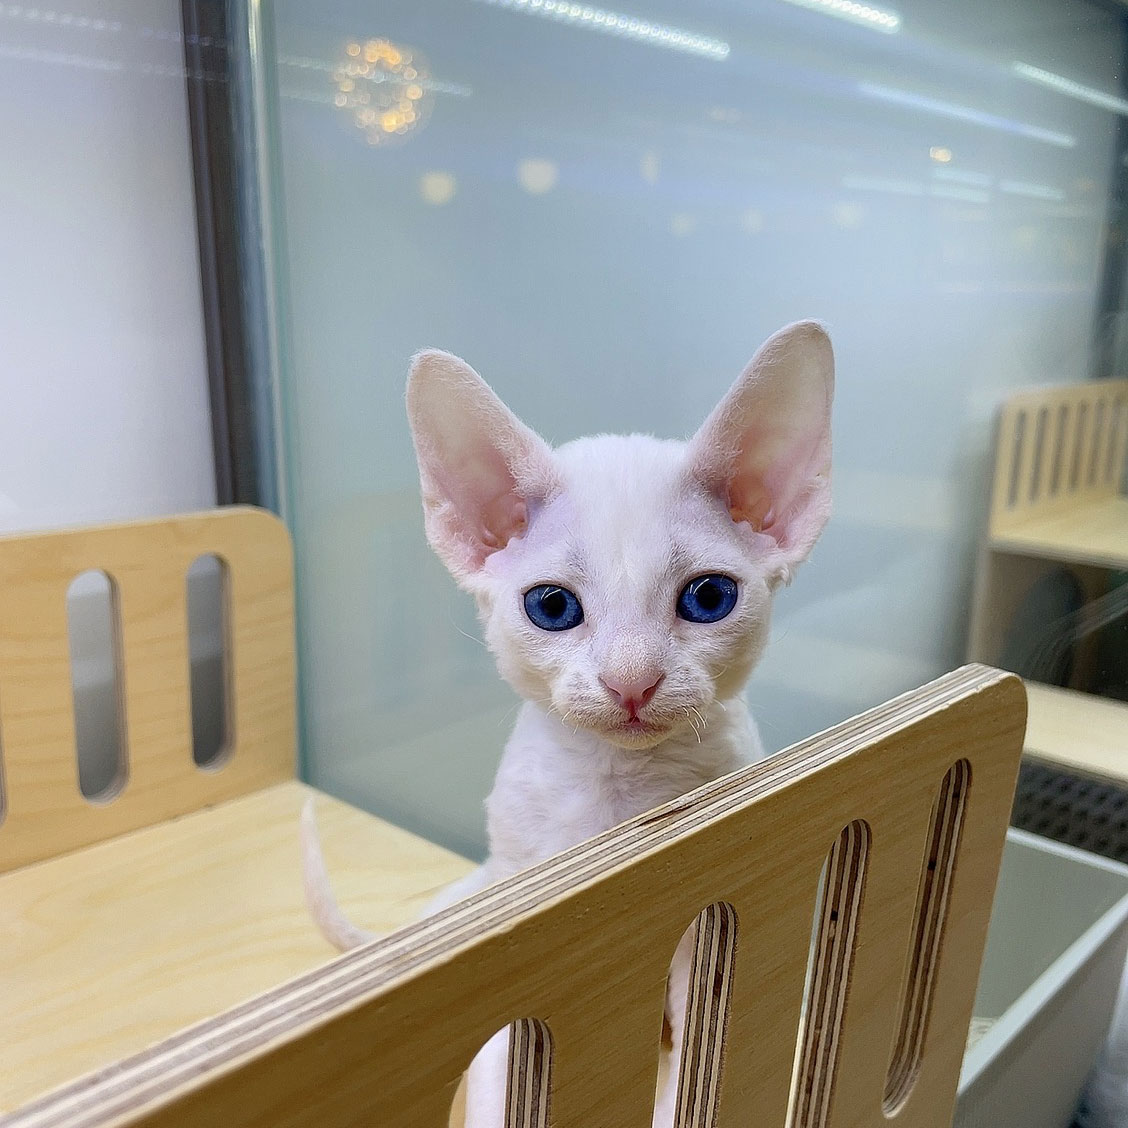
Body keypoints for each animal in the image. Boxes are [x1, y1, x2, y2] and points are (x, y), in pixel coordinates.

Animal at [302, 319, 835, 1127]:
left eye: (708, 597)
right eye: (552, 607)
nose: (631, 680)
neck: (617, 800)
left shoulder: (708, 934)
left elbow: (694, 1077)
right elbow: (501, 1064)